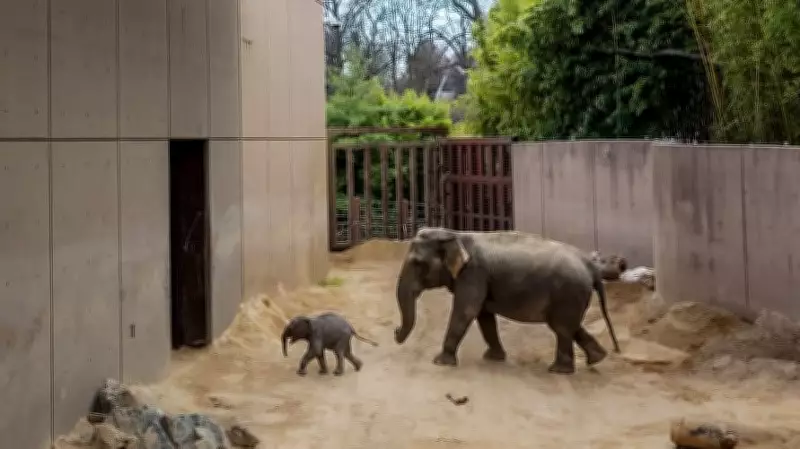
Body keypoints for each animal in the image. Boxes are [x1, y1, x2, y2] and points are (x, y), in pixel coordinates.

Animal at [394, 227, 621, 374]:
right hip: (572, 295)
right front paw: (493, 358)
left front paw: (440, 362)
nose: (395, 332)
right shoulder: (480, 278)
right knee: (570, 326)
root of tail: (591, 266)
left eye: (417, 263)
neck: (454, 234)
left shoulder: (473, 274)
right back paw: (597, 359)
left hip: (568, 292)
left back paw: (558, 370)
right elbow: (484, 315)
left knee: (562, 328)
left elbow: (466, 310)